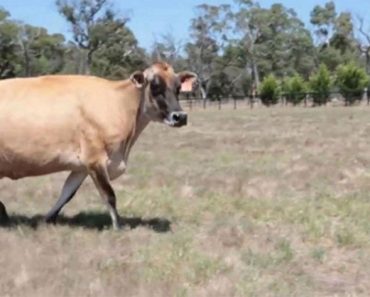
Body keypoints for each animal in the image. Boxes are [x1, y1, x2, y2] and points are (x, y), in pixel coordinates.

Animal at [0, 61, 197, 229]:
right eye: (155, 86)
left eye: (178, 87)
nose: (180, 116)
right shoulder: (95, 159)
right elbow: (109, 195)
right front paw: (119, 227)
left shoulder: (81, 166)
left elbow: (67, 193)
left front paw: (47, 219)